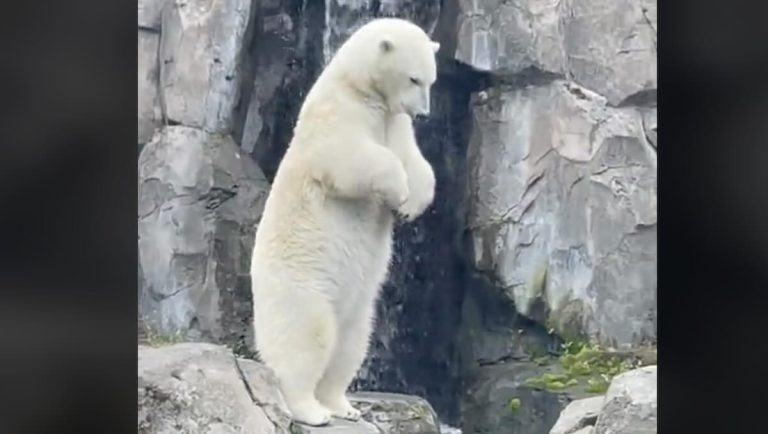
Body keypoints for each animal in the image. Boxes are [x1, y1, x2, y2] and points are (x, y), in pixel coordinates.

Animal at [249, 17, 439, 427]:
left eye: (431, 80)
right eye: (414, 78)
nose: (424, 114)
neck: (357, 85)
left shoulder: (394, 122)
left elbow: (415, 161)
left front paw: (410, 205)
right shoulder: (337, 113)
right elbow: (351, 158)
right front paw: (398, 190)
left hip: (358, 310)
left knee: (351, 344)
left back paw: (342, 405)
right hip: (301, 287)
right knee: (308, 338)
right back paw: (311, 410)